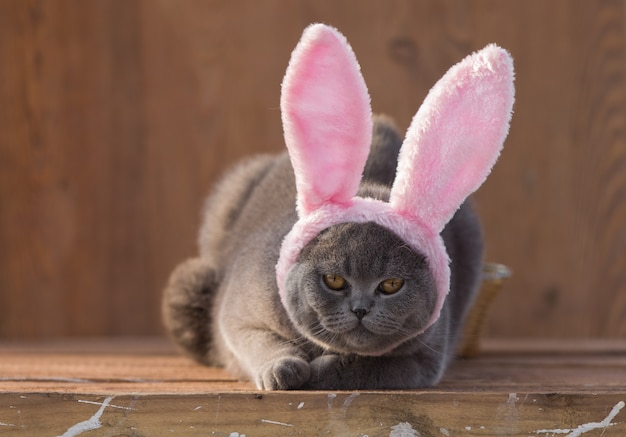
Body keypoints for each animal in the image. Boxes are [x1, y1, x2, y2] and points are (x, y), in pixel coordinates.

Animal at [161, 25, 512, 390]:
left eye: (391, 285)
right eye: (333, 280)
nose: (360, 308)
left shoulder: (423, 360)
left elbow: (364, 367)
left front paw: (319, 372)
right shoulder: (237, 313)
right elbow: (259, 341)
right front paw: (283, 369)